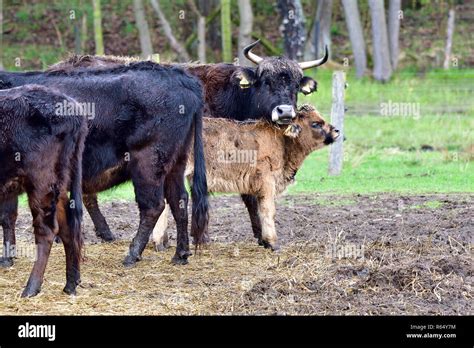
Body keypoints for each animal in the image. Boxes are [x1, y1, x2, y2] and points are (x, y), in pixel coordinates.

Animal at [0, 62, 209, 270]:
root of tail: (180, 76)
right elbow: (9, 216)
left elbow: (6, 216)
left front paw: (6, 258)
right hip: (176, 162)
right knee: (178, 200)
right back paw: (180, 254)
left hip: (148, 161)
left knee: (153, 206)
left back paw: (132, 255)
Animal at [0, 85, 87, 296]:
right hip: (58, 185)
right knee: (68, 227)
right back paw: (70, 284)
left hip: (40, 184)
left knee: (46, 231)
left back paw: (31, 288)